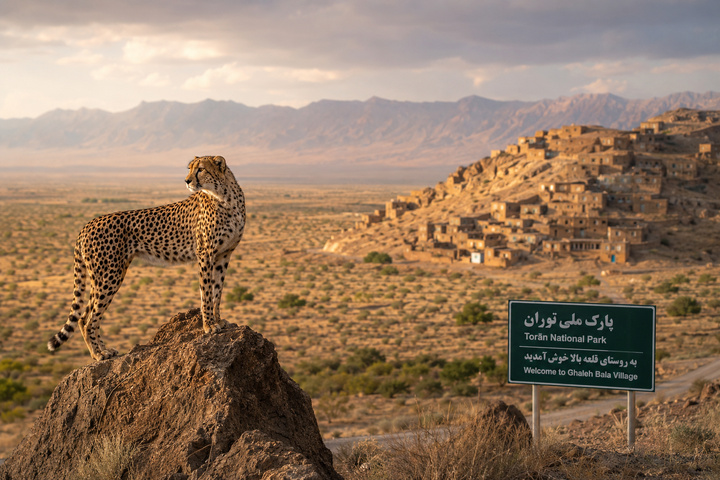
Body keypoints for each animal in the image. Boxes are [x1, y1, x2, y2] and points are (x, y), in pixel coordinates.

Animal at [48, 155, 246, 361]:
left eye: (200, 169)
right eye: (190, 168)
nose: (187, 180)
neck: (225, 196)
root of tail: (88, 224)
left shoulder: (224, 254)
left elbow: (217, 292)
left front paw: (219, 321)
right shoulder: (205, 253)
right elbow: (206, 292)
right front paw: (209, 325)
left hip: (105, 276)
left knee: (84, 316)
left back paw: (103, 350)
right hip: (109, 275)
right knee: (89, 319)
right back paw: (98, 354)